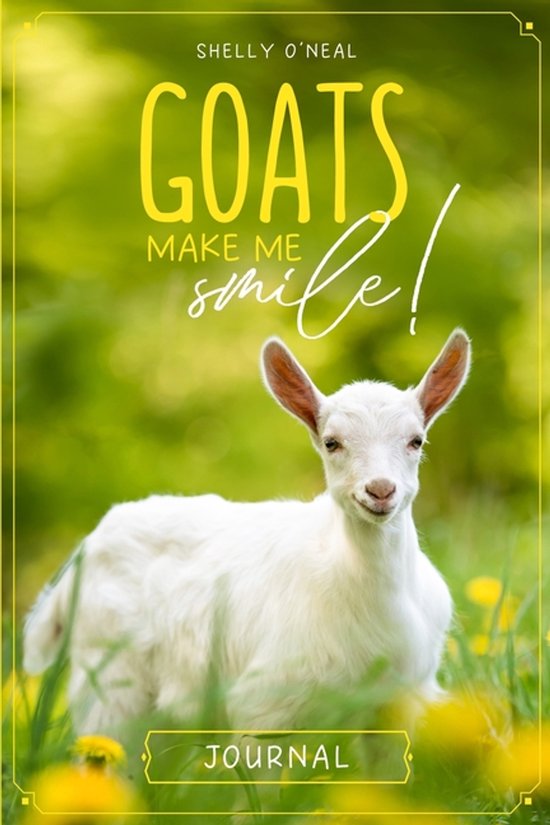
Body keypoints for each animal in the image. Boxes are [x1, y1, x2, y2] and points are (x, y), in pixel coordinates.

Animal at [24, 330, 470, 737]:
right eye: (331, 443)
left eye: (416, 440)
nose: (379, 490)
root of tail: (86, 548)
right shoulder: (264, 704)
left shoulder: (400, 701)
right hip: (109, 679)